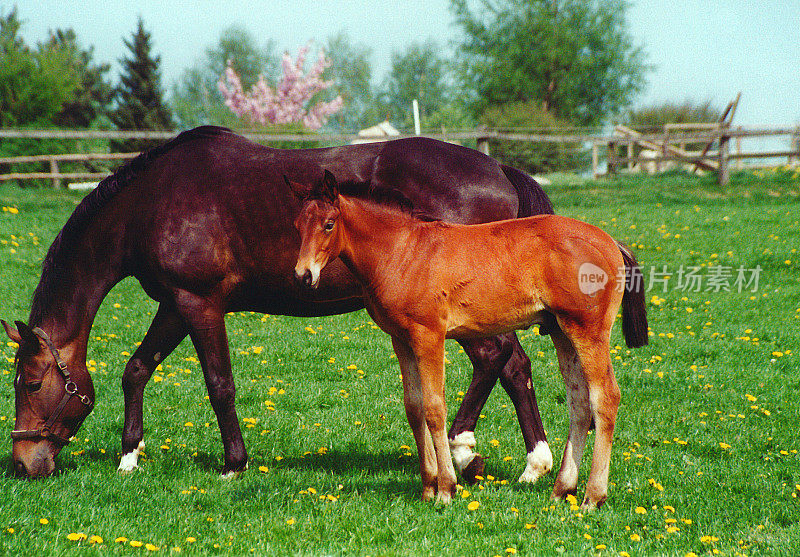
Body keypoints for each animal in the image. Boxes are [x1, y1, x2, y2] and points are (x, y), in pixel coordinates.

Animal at [4, 125, 556, 478]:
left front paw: (233, 464)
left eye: (30, 383)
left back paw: (463, 449)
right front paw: (128, 456)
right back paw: (532, 463)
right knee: (515, 365)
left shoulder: (199, 303)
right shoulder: (173, 305)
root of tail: (500, 169)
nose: (23, 465)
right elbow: (136, 369)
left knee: (495, 359)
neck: (150, 202)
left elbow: (219, 385)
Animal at [290, 173, 648, 508]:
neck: (403, 251)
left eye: (328, 224)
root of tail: (611, 243)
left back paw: (592, 497)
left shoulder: (429, 336)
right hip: (562, 332)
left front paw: (446, 489)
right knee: (579, 404)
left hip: (589, 332)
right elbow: (414, 408)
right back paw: (562, 490)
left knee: (606, 398)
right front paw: (427, 487)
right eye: (297, 225)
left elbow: (435, 408)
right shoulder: (401, 340)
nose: (303, 275)